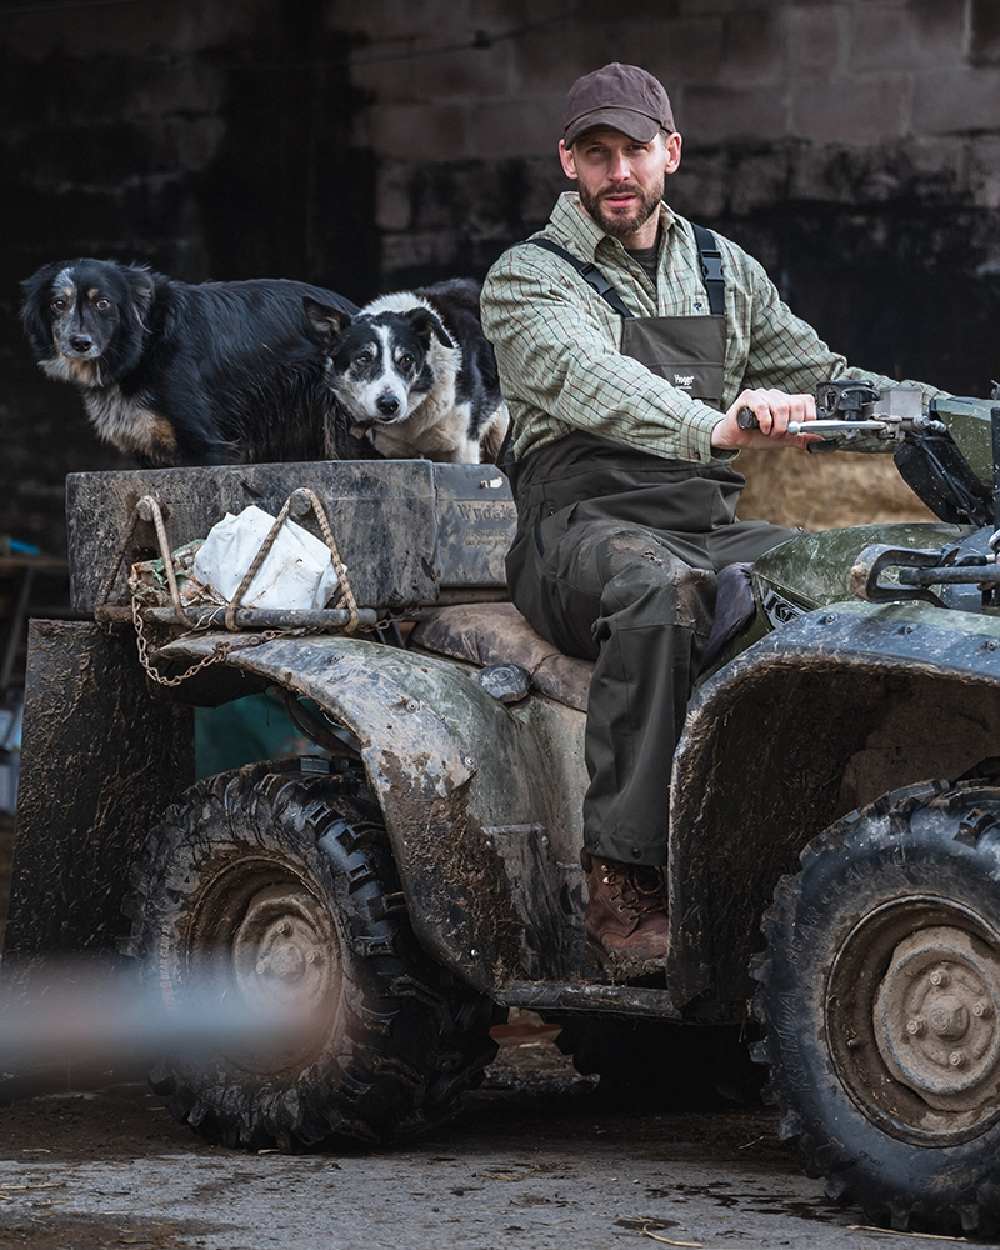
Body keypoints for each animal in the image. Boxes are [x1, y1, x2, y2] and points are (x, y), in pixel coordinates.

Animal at [20, 258, 360, 470]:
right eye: (58, 304)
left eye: (102, 303)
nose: (79, 343)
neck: (144, 346)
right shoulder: (145, 451)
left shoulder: (206, 446)